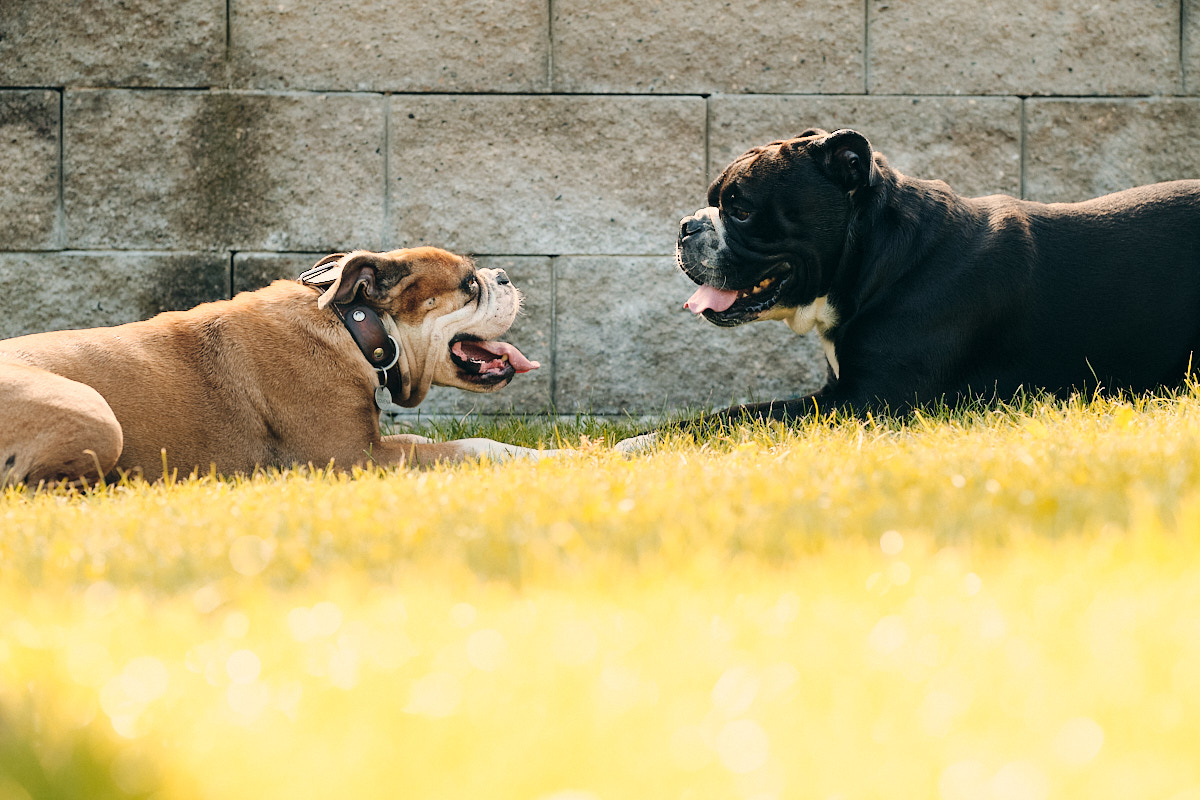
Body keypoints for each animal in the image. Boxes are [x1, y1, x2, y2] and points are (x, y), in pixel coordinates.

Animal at [672, 127, 1195, 422]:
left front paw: (654, 439)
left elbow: (735, 418)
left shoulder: (867, 401)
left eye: (740, 209)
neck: (880, 265)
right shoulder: (837, 393)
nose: (686, 226)